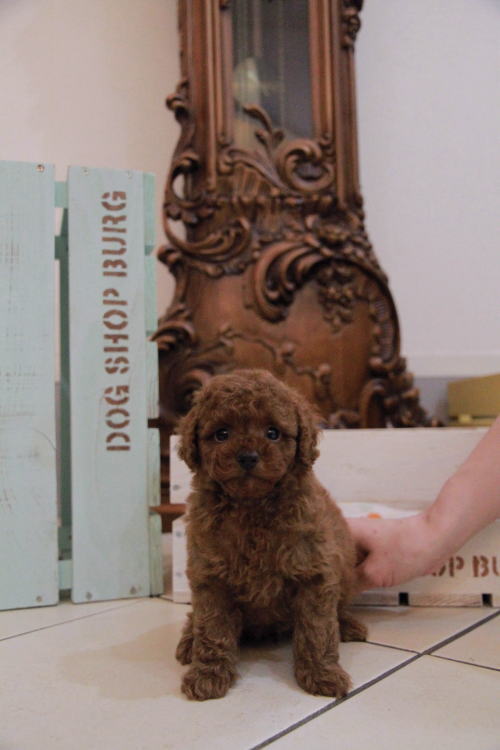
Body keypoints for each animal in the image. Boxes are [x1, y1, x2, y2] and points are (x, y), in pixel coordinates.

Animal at [175, 369, 367, 700]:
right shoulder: (210, 578)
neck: (253, 506)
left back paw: (349, 625)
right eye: (222, 434)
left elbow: (317, 629)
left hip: (344, 571)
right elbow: (211, 629)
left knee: (338, 608)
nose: (248, 457)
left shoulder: (315, 573)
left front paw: (321, 674)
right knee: (194, 619)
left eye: (273, 433)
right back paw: (188, 643)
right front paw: (207, 675)